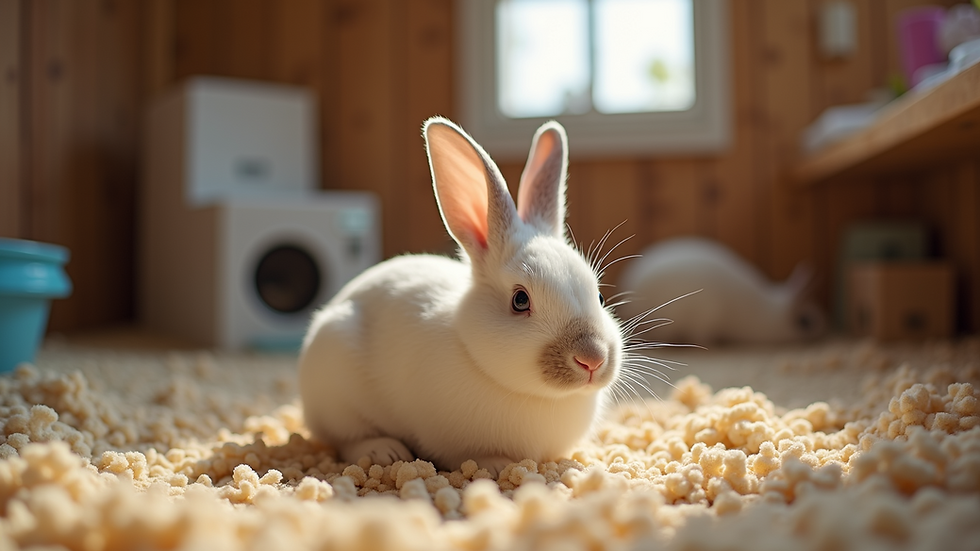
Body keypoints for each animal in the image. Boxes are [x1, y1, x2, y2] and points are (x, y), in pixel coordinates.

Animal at [298, 116, 624, 476]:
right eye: (520, 300)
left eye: (600, 297)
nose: (592, 358)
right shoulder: (444, 441)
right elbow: (464, 456)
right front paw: (496, 466)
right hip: (336, 391)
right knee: (346, 440)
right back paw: (385, 452)